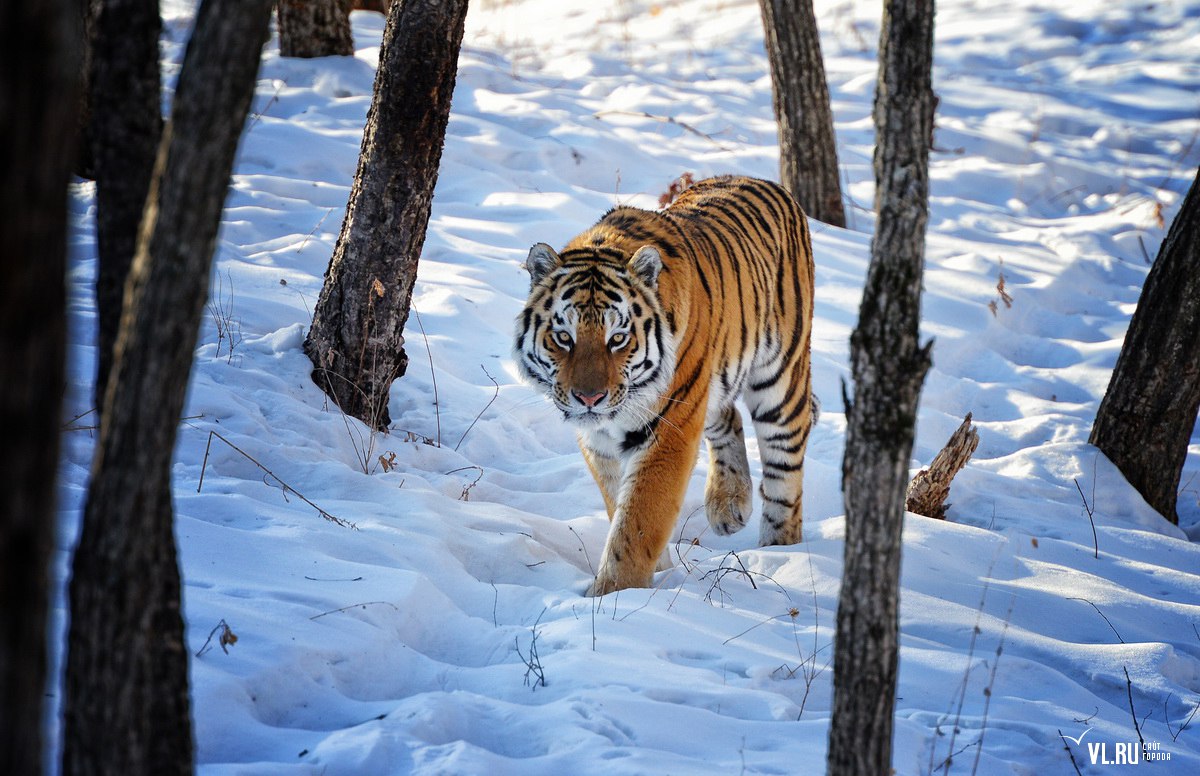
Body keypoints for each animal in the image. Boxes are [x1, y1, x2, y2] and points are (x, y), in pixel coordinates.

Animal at [516, 176, 816, 597]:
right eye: (563, 337)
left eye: (617, 338)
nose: (589, 398)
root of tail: (769, 183)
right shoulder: (599, 441)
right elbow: (618, 503)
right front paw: (653, 572)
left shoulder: (669, 429)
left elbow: (638, 521)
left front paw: (612, 596)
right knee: (728, 416)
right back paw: (729, 506)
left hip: (780, 381)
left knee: (785, 471)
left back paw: (781, 556)